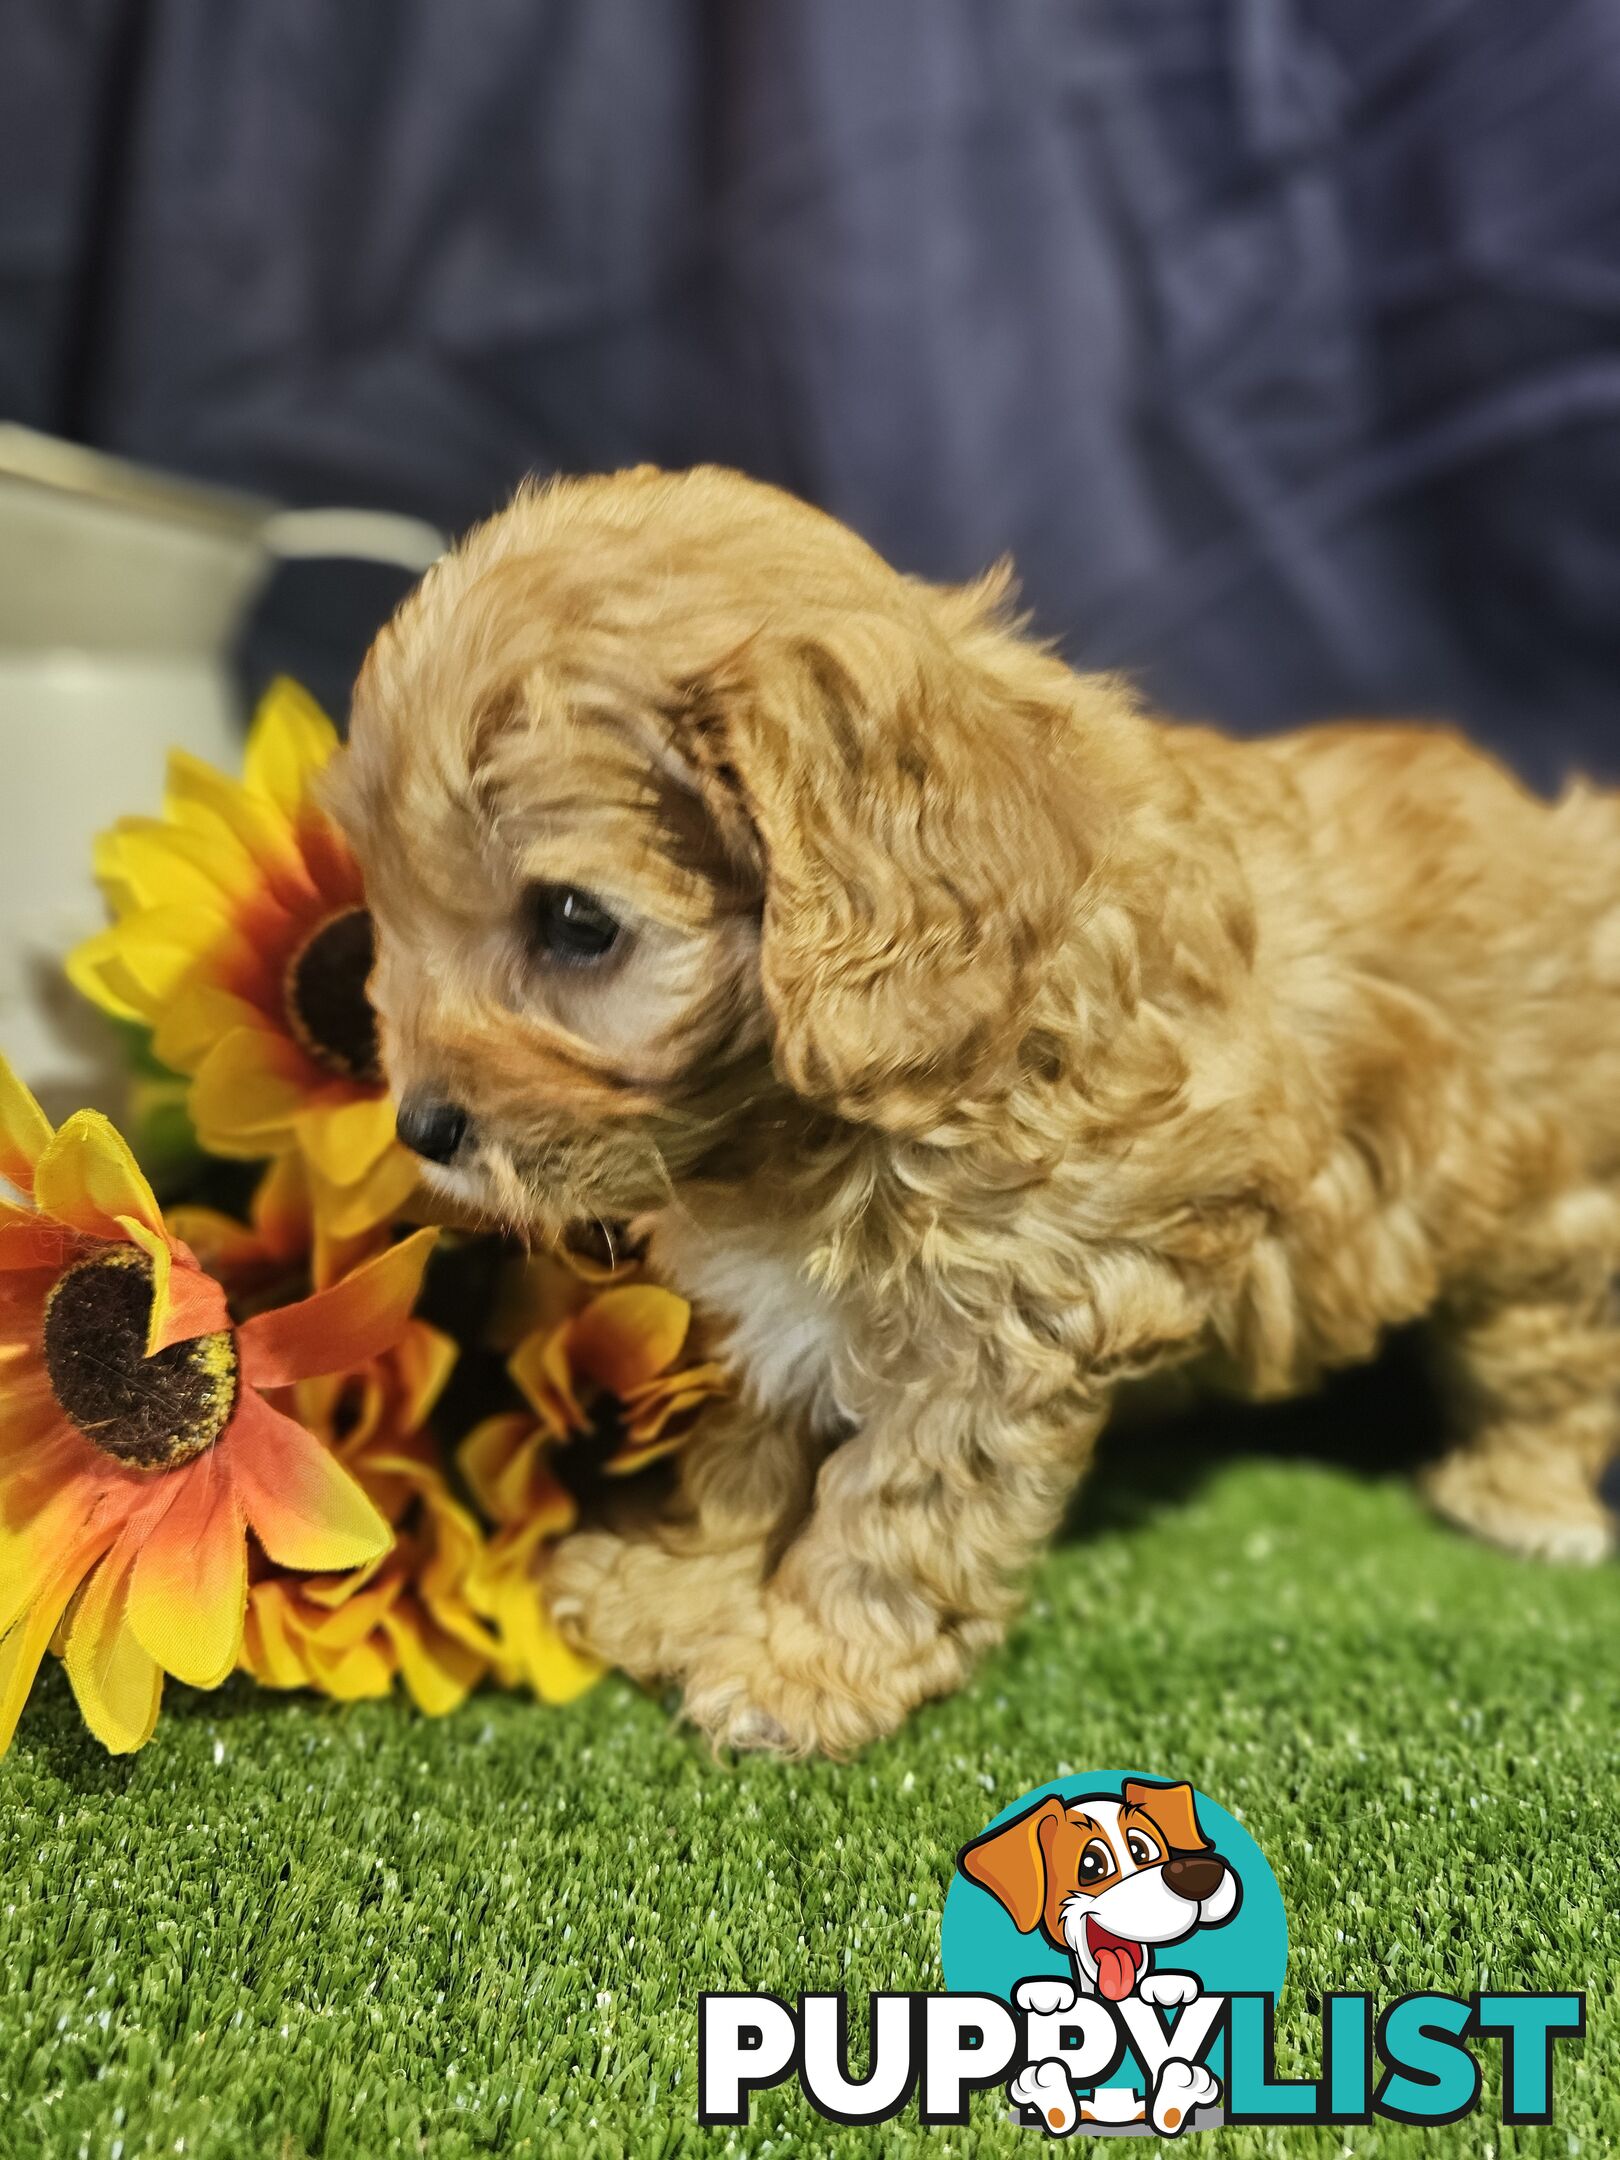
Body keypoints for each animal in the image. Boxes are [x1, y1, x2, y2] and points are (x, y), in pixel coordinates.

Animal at [330, 468, 1620, 1753]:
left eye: (576, 923)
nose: (422, 1128)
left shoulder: (1010, 1328)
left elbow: (900, 1512)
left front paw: (806, 1669)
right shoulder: (786, 1316)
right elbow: (748, 1451)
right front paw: (677, 1589)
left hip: (1542, 1209)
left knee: (1548, 1354)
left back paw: (1522, 1501)